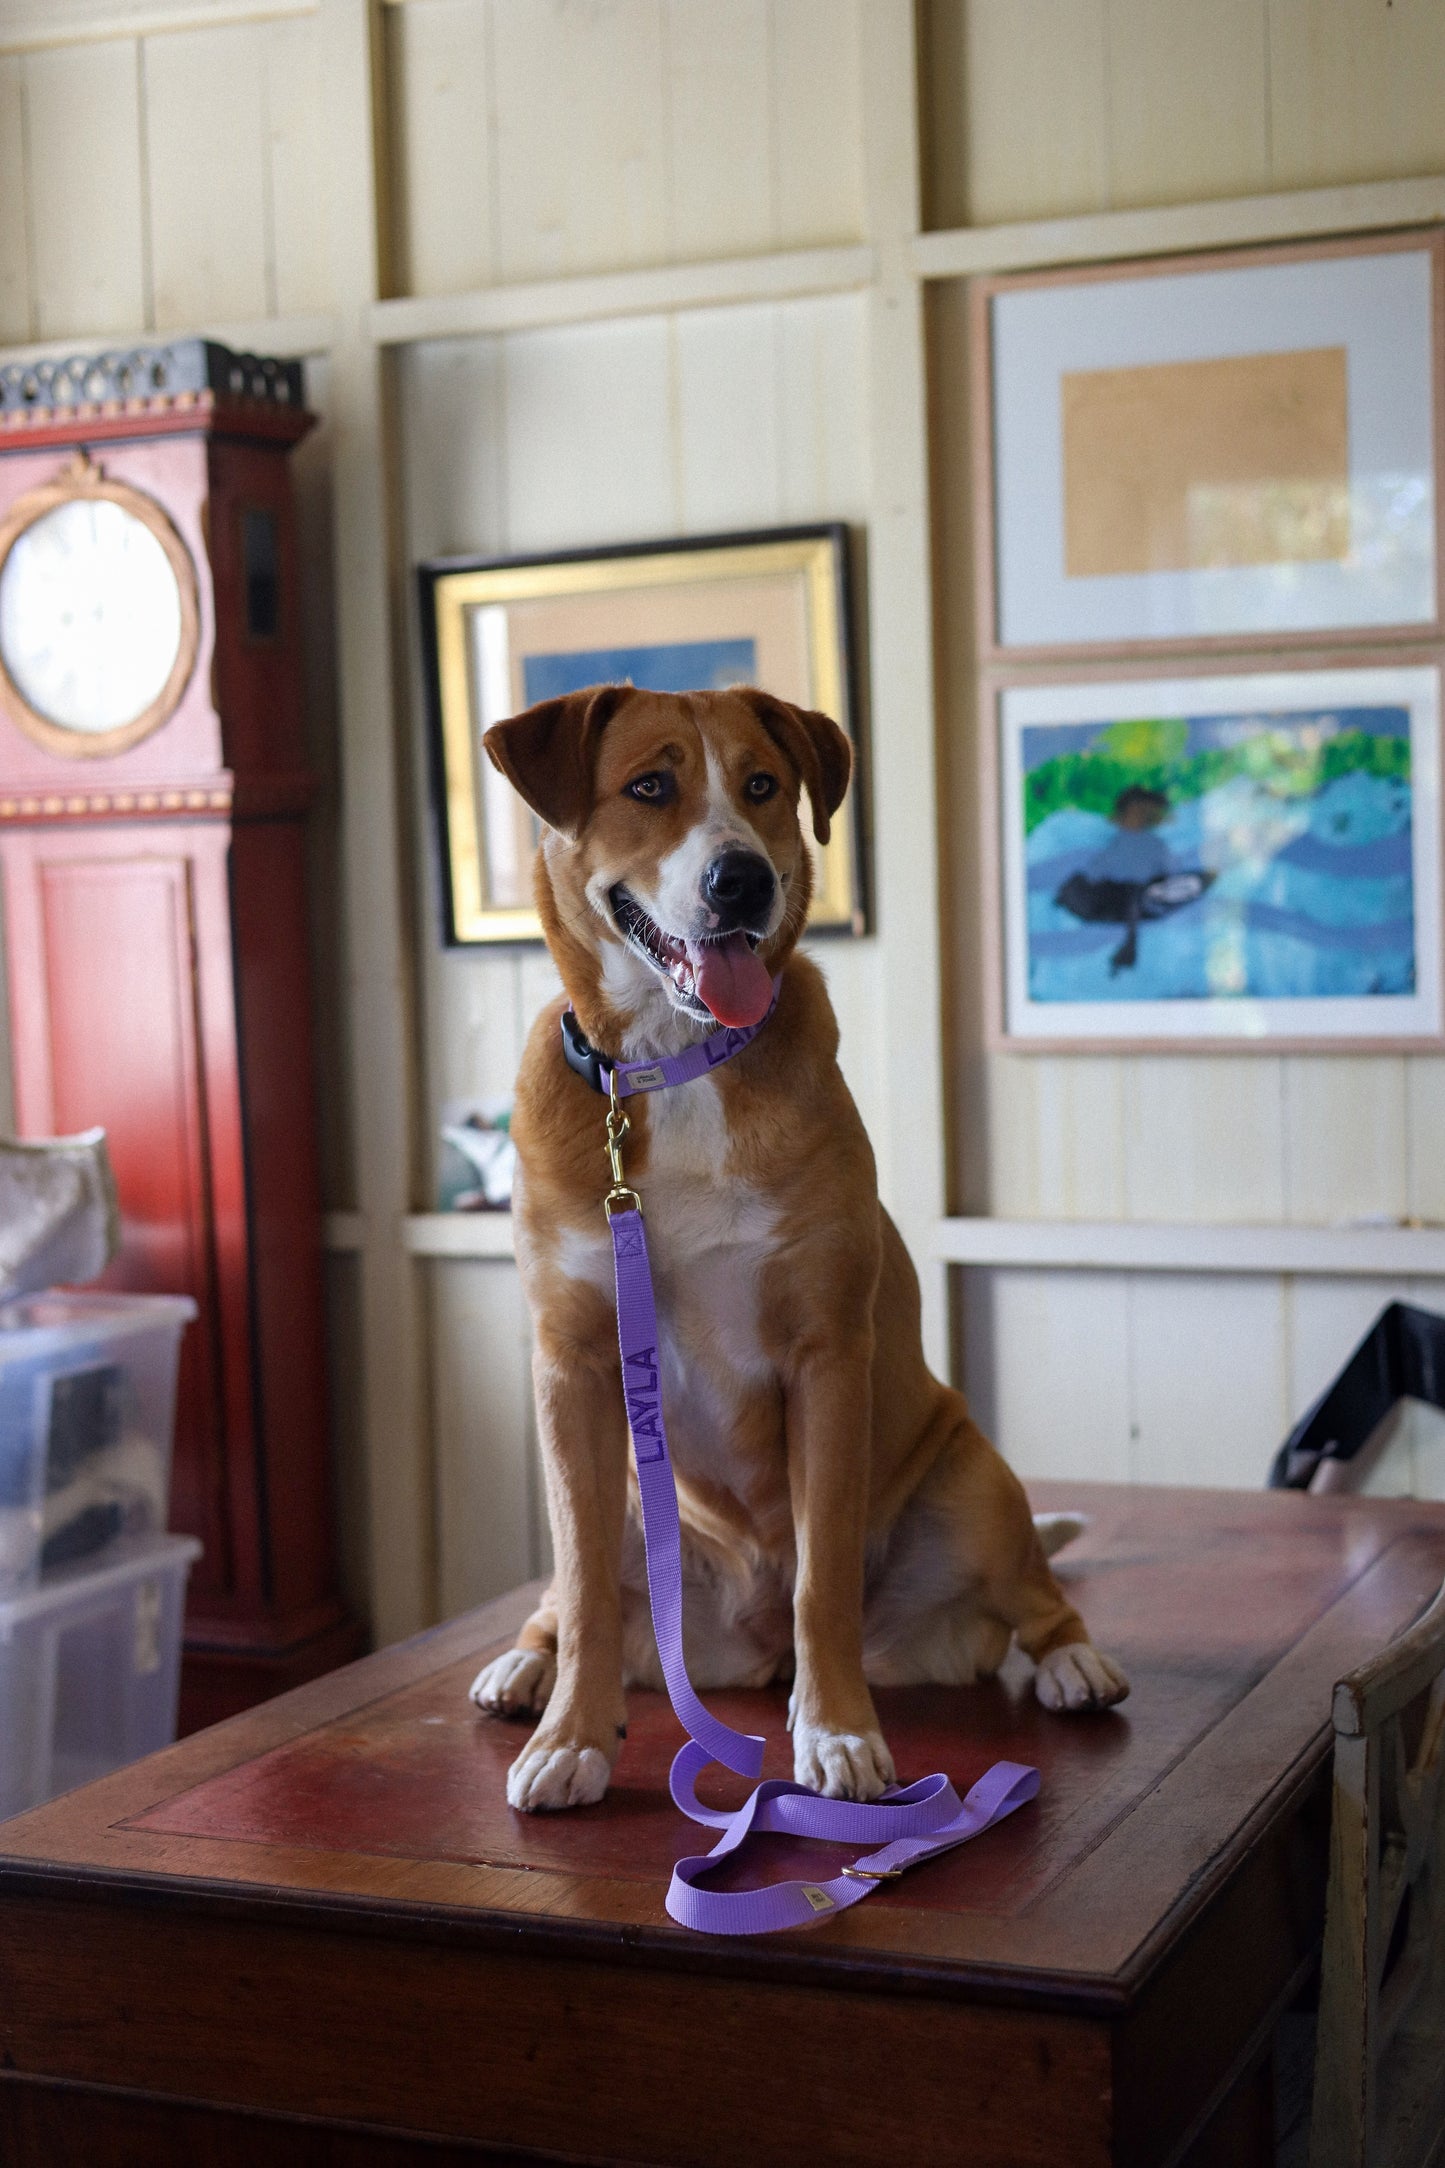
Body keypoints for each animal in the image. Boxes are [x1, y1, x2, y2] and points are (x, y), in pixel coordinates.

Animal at [474, 685, 1126, 1803]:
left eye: (761, 784)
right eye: (649, 785)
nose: (743, 878)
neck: (674, 1060)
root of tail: (746, 1645)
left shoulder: (824, 1353)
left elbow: (820, 1582)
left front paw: (836, 1733)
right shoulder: (573, 1365)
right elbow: (584, 1583)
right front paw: (569, 1737)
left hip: (972, 1487)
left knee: (1031, 1597)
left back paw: (1072, 1662)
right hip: (635, 1506)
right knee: (565, 1588)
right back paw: (526, 1665)